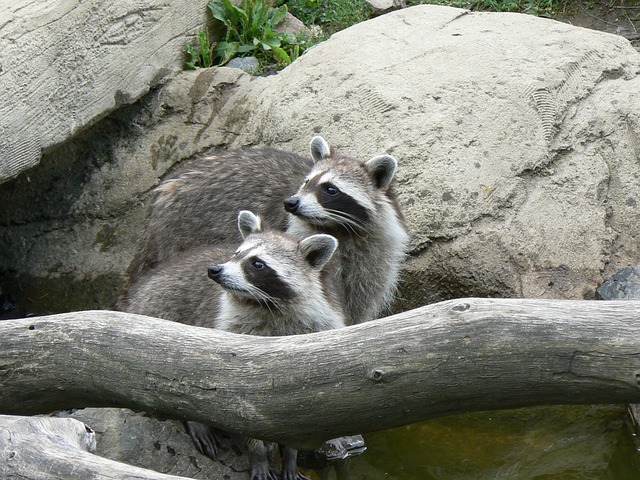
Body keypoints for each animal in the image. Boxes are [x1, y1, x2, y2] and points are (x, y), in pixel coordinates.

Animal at [124, 210, 344, 480]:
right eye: (236, 254)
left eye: (257, 263)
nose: (214, 270)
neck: (266, 305)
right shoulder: (232, 335)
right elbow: (237, 404)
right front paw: (258, 455)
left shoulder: (320, 332)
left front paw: (290, 458)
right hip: (157, 313)